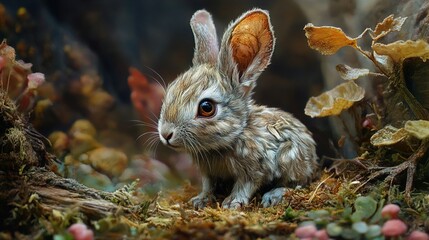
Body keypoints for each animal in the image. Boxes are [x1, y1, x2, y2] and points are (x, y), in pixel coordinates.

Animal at [158, 8, 318, 209]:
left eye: (206, 107)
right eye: (170, 90)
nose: (165, 134)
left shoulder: (256, 168)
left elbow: (245, 185)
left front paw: (231, 203)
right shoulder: (208, 173)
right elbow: (208, 185)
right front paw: (200, 200)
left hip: (291, 159)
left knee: (298, 183)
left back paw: (274, 195)